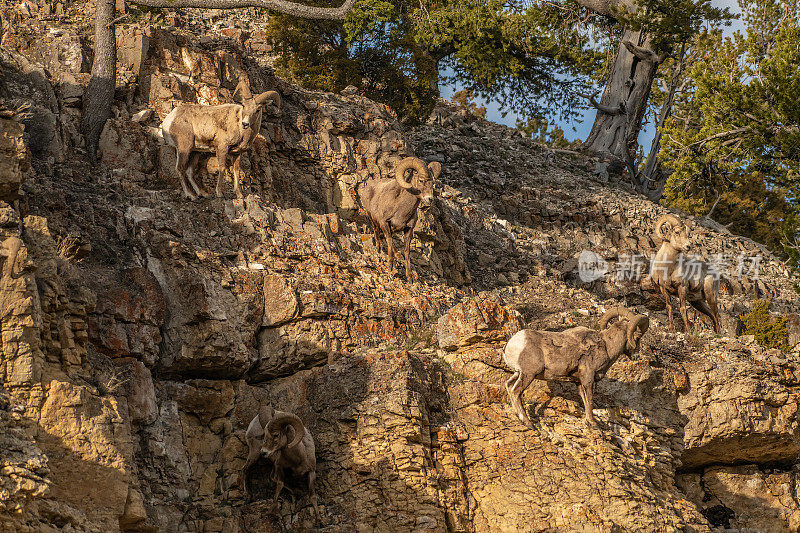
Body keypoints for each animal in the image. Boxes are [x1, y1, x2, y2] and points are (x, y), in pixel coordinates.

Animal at [506, 306, 648, 426]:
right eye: (638, 337)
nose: (637, 356)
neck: (607, 347)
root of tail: (512, 344)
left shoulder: (579, 381)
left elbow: (584, 400)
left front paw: (588, 421)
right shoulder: (588, 377)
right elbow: (589, 399)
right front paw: (593, 423)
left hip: (518, 373)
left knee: (508, 385)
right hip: (528, 374)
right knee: (515, 391)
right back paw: (527, 422)